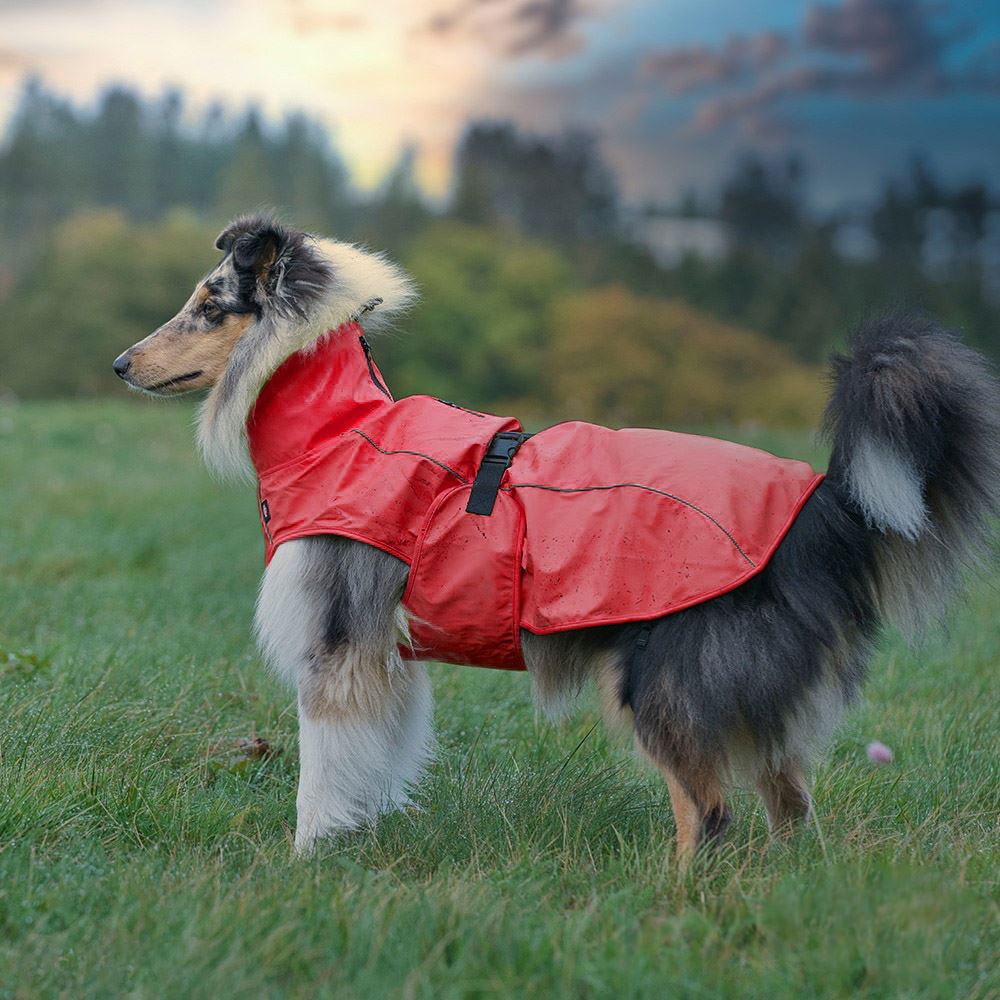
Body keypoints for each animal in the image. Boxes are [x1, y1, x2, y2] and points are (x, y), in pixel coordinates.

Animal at [115, 215, 1000, 864]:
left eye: (209, 306)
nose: (120, 363)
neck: (338, 429)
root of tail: (826, 509)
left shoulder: (336, 646)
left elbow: (322, 772)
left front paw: (309, 861)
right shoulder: (388, 659)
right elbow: (377, 757)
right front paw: (364, 838)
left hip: (663, 682)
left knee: (710, 816)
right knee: (791, 810)